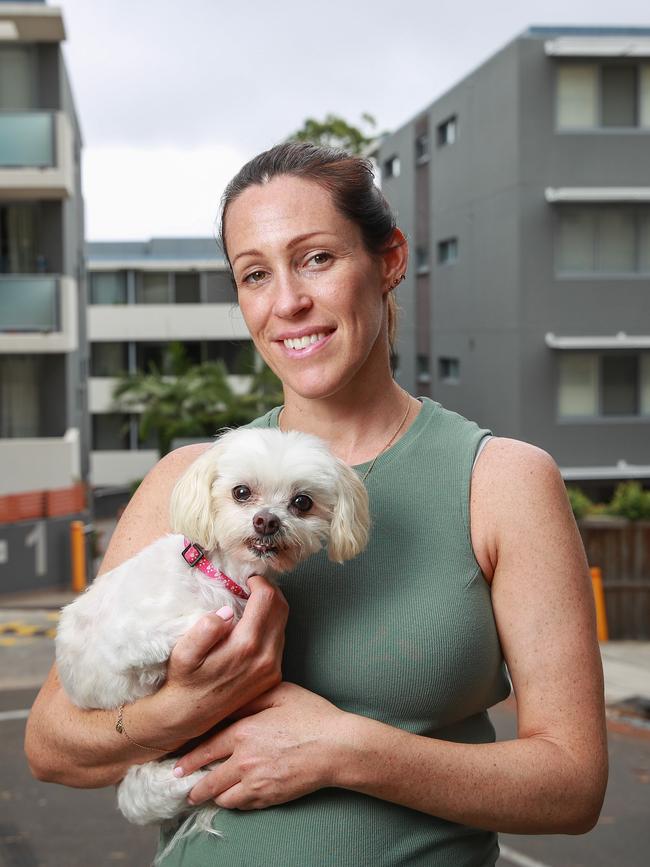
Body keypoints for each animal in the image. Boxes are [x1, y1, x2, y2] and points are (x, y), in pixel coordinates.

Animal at [54, 428, 370, 856]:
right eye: (241, 492)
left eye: (301, 502)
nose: (266, 520)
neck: (217, 576)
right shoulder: (127, 641)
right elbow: (185, 629)